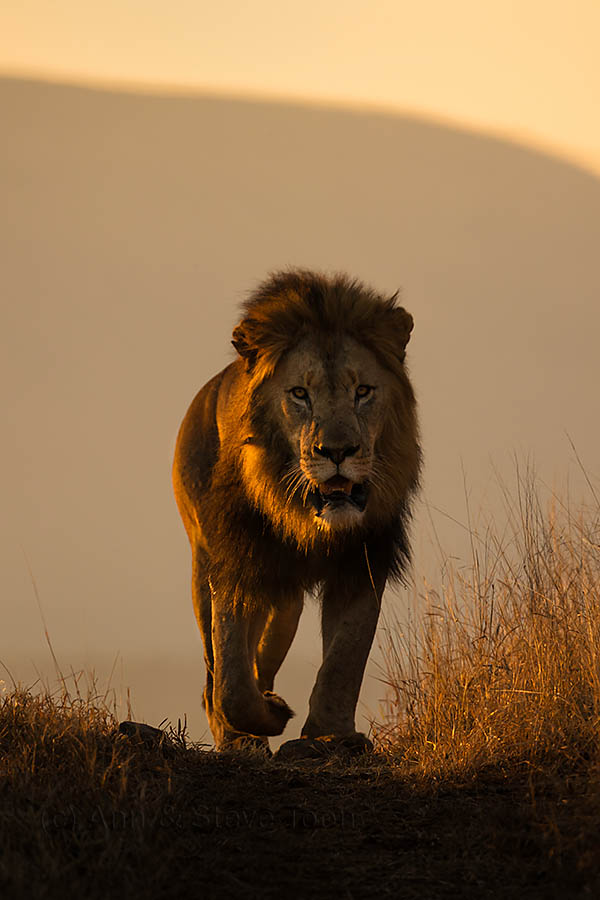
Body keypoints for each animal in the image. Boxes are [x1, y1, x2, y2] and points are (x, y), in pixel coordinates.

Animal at [172, 269, 421, 753]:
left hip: (285, 600)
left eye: (363, 391)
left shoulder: (363, 559)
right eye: (300, 394)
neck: (306, 519)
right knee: (215, 673)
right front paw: (259, 722)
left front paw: (331, 733)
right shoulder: (237, 558)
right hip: (205, 563)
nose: (337, 452)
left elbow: (345, 657)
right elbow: (231, 677)